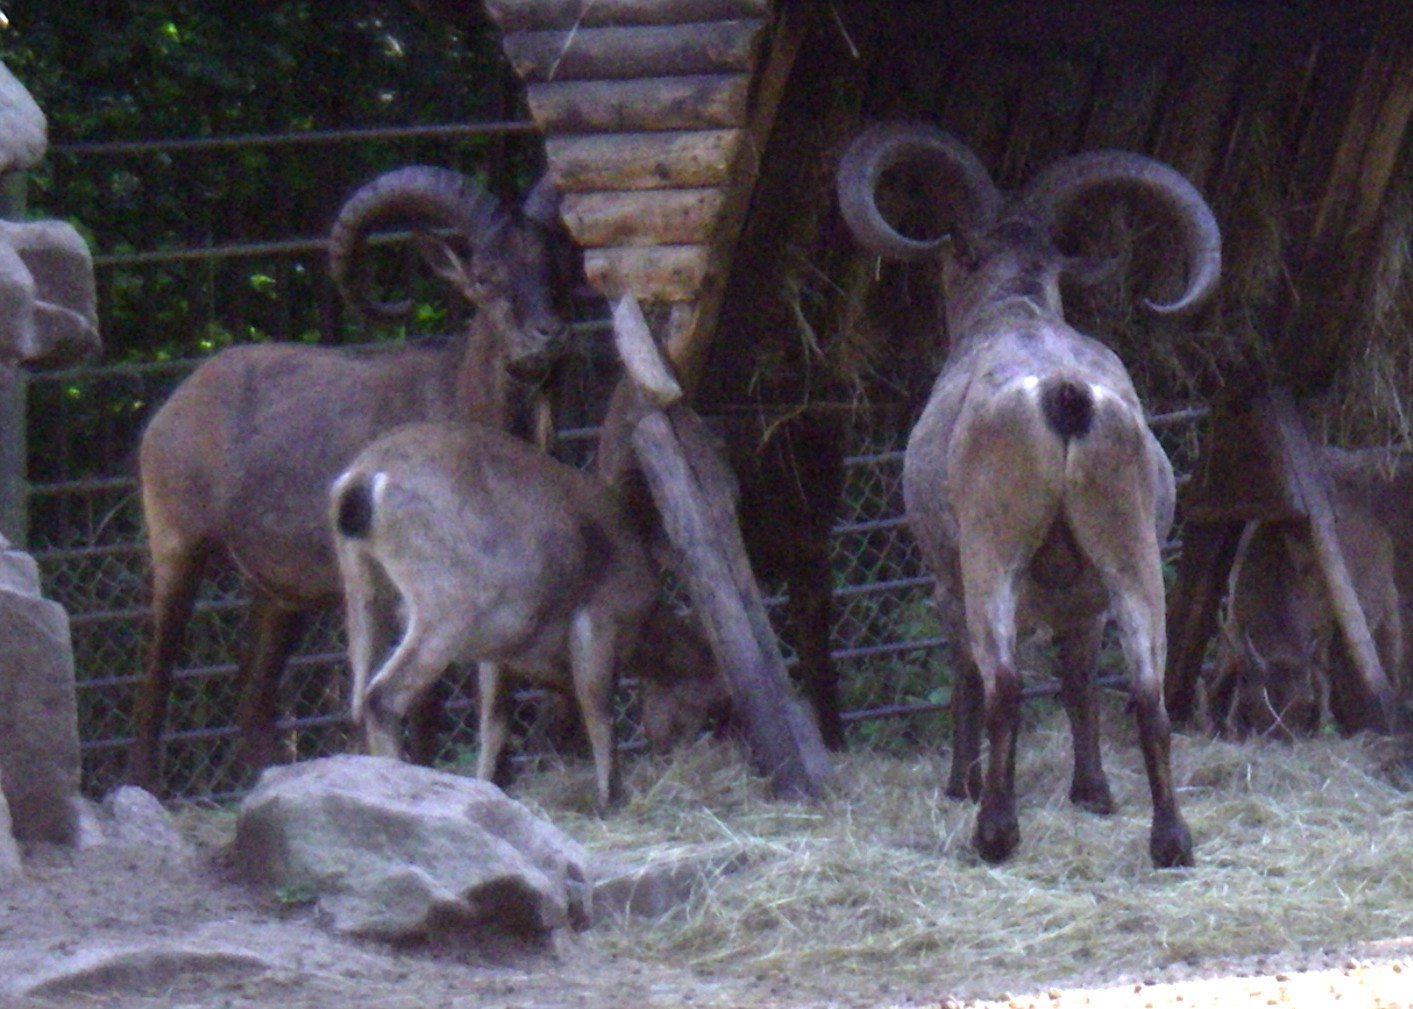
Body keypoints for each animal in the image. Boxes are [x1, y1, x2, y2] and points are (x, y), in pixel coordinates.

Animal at [129, 166, 568, 792]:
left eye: (557, 267)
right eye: (485, 275)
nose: (547, 334)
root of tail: (173, 408)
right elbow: (424, 699)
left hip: (279, 592)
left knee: (252, 692)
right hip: (177, 546)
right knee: (158, 671)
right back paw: (142, 785)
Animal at [330, 420, 659, 811]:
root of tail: (363, 479)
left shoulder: (496, 653)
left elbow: (493, 720)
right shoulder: (598, 619)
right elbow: (599, 707)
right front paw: (611, 798)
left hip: (362, 588)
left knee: (357, 700)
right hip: (445, 605)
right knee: (382, 696)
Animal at [836, 122, 1221, 867]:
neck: (1014, 311)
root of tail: (1063, 395)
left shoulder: (946, 581)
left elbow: (966, 675)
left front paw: (961, 784)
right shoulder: (1085, 604)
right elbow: (1079, 682)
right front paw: (1093, 791)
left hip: (993, 551)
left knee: (1004, 684)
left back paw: (994, 830)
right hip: (1131, 550)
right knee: (1147, 692)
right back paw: (1170, 840)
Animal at [1209, 453, 1404, 740]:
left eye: (1304, 704)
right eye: (1254, 703)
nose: (1283, 738)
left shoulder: (1321, 628)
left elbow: (1322, 675)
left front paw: (1322, 724)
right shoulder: (1233, 620)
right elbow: (1225, 668)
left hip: (1388, 608)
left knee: (1387, 657)